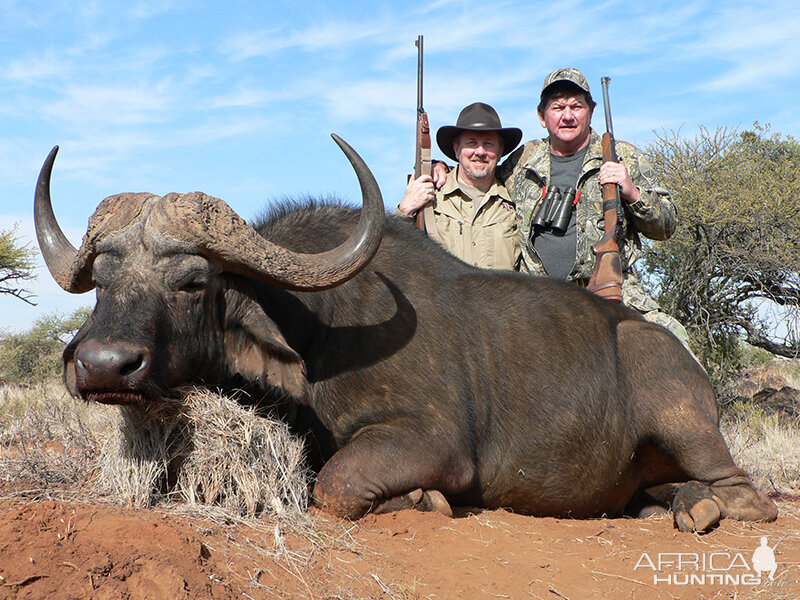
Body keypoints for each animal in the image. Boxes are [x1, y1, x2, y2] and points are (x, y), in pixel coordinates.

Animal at [34, 136, 780, 528]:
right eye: (102, 279)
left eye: (192, 281)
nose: (103, 364)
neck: (318, 334)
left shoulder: (430, 443)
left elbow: (335, 486)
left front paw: (424, 499)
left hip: (685, 420)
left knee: (749, 495)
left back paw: (697, 508)